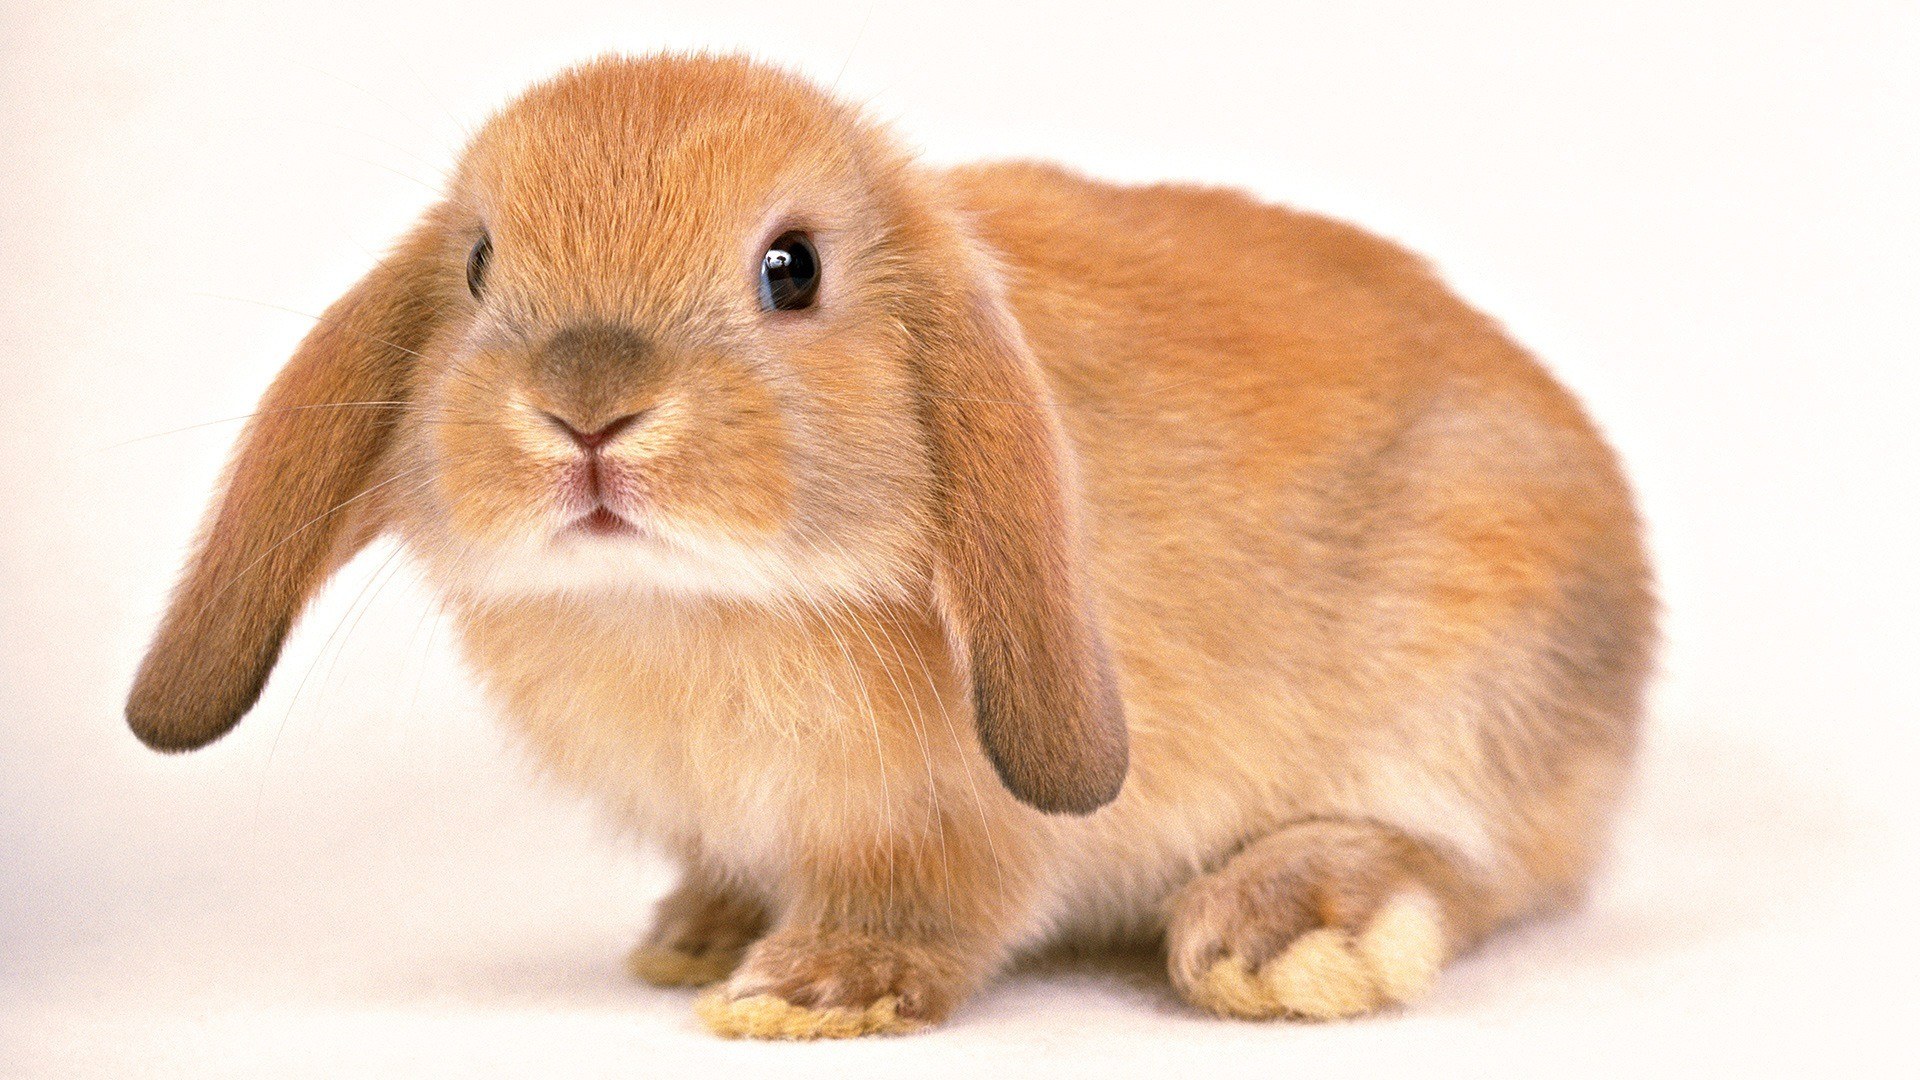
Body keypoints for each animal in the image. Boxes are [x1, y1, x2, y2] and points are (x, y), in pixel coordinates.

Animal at [126, 53, 1655, 1038]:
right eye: (481, 265)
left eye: (790, 269)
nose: (586, 408)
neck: (693, 604)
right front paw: (699, 939)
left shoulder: (955, 825)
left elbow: (933, 903)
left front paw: (806, 992)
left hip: (1466, 688)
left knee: (1469, 865)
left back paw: (1284, 935)